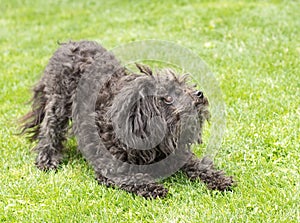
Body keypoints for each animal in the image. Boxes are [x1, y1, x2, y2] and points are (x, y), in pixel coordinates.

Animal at [20, 41, 234, 198]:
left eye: (183, 86)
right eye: (167, 98)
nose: (199, 94)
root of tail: (69, 44)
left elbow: (198, 165)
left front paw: (219, 179)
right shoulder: (112, 166)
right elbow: (132, 178)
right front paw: (153, 188)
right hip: (58, 102)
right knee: (50, 129)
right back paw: (47, 159)